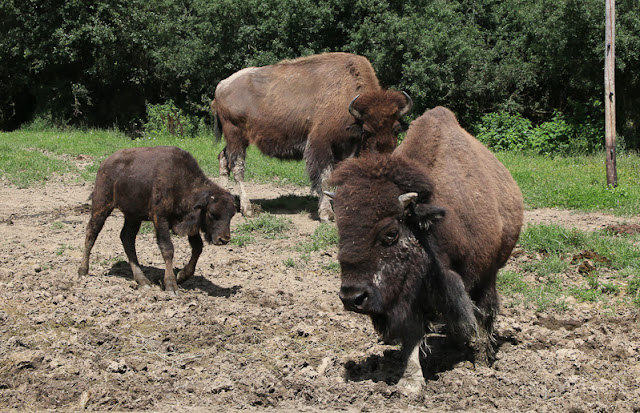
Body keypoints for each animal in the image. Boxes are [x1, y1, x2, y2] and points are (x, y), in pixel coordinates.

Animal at [78, 146, 235, 294]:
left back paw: (143, 281)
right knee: (91, 233)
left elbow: (197, 247)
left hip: (133, 216)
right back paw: (83, 271)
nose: (223, 239)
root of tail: (105, 163)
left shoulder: (190, 225)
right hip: (102, 206)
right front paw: (171, 285)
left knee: (127, 238)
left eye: (232, 215)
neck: (182, 183)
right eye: (212, 213)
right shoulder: (160, 219)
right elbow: (168, 249)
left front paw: (181, 276)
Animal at [210, 52, 410, 222]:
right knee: (237, 167)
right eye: (367, 130)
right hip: (236, 135)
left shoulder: (342, 150)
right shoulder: (321, 145)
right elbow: (324, 178)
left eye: (396, 129)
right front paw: (326, 214)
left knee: (223, 159)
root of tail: (221, 86)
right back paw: (248, 210)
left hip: (234, 140)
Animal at [328, 106, 524, 390]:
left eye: (391, 233)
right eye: (341, 230)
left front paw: (482, 364)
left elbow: (481, 320)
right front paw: (410, 383)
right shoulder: (412, 292)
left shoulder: (484, 278)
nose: (352, 298)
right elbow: (413, 334)